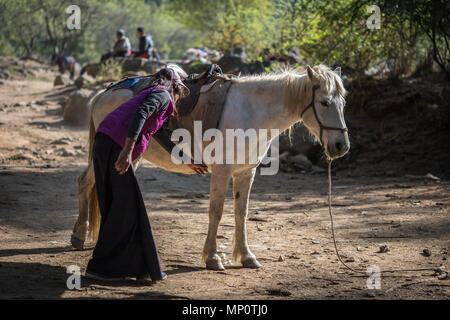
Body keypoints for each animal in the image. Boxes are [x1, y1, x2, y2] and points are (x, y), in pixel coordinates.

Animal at [72, 64, 350, 270]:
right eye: (325, 102)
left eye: (343, 103)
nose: (341, 145)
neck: (251, 112)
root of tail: (105, 93)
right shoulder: (222, 172)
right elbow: (216, 212)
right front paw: (213, 257)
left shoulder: (245, 173)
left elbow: (241, 213)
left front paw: (246, 256)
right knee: (85, 182)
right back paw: (79, 235)